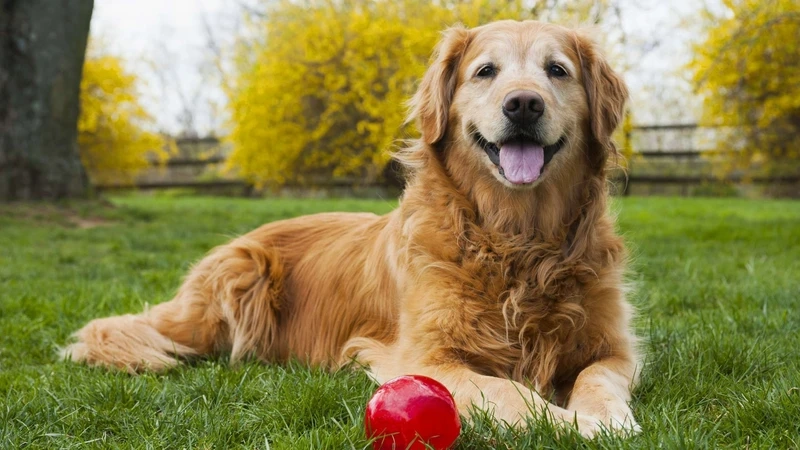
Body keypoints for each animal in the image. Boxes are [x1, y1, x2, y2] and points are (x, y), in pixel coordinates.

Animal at [67, 20, 644, 436]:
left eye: (557, 70)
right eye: (486, 71)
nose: (523, 103)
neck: (517, 238)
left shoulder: (614, 347)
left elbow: (597, 378)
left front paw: (604, 418)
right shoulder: (424, 356)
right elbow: (510, 391)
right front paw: (573, 424)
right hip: (235, 282)